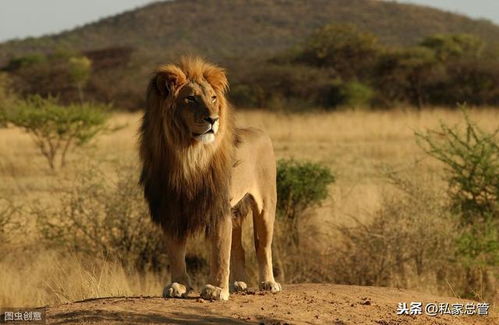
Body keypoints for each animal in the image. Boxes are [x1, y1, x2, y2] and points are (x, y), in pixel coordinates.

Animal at [140, 57, 282, 300]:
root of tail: (260, 131)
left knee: (262, 245)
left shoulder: (217, 206)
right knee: (238, 247)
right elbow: (175, 250)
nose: (213, 119)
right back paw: (238, 283)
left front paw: (216, 289)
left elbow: (219, 250)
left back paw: (268, 283)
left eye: (213, 98)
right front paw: (178, 285)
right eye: (190, 98)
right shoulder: (171, 207)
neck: (188, 155)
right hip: (236, 210)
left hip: (265, 204)